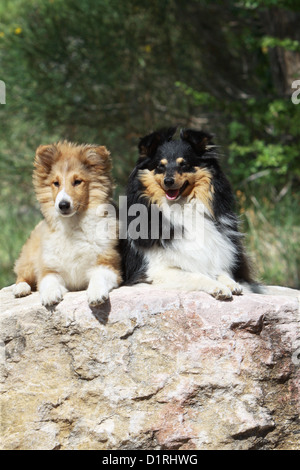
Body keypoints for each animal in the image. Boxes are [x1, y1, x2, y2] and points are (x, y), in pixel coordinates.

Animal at [12, 141, 120, 306]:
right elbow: (48, 281)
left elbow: (99, 276)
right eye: (56, 183)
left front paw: (96, 294)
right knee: (21, 275)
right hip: (29, 260)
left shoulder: (108, 264)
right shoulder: (49, 268)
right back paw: (20, 289)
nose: (63, 205)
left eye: (77, 182)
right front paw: (50, 295)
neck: (73, 225)